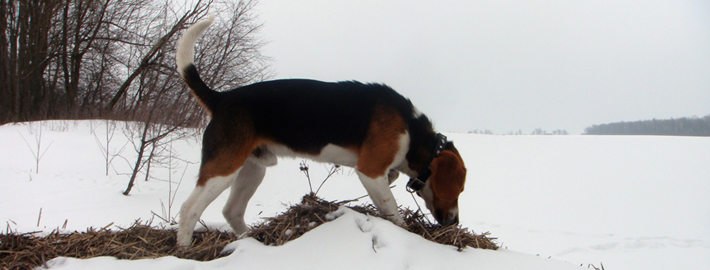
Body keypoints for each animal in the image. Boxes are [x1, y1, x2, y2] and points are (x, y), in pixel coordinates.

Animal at [176, 15, 470, 246]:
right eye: (459, 188)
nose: (455, 223)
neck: (413, 131)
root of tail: (221, 98)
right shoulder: (371, 172)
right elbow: (392, 210)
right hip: (223, 169)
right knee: (189, 209)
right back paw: (184, 249)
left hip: (253, 168)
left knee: (232, 211)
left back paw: (248, 241)